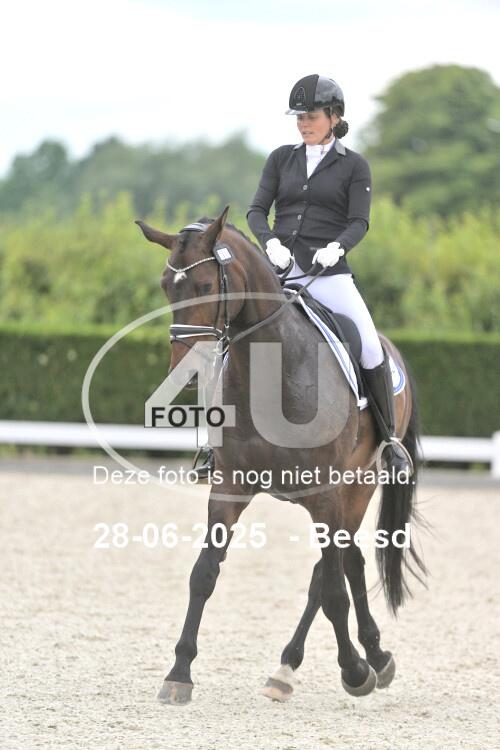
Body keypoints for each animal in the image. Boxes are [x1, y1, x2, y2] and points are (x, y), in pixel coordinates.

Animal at [136, 205, 427, 705]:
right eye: (164, 286)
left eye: (206, 286)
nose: (184, 375)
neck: (271, 371)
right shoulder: (228, 489)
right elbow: (203, 573)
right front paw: (179, 673)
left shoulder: (326, 495)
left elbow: (330, 591)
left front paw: (353, 671)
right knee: (348, 562)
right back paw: (353, 657)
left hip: (359, 486)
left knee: (332, 571)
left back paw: (325, 664)